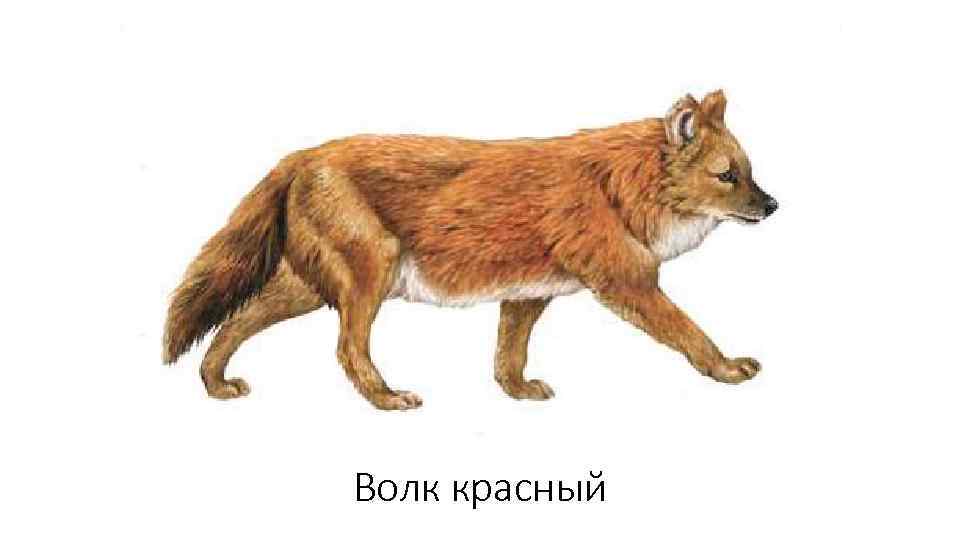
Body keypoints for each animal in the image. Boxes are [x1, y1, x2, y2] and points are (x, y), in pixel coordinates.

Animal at [163, 90, 778, 410]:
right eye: (728, 176)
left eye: (750, 172)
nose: (772, 205)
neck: (621, 188)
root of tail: (302, 155)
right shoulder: (628, 283)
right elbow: (692, 334)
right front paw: (727, 369)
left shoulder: (528, 294)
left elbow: (509, 355)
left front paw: (519, 391)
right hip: (369, 274)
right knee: (346, 349)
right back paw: (387, 399)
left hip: (307, 286)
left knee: (233, 321)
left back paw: (216, 384)